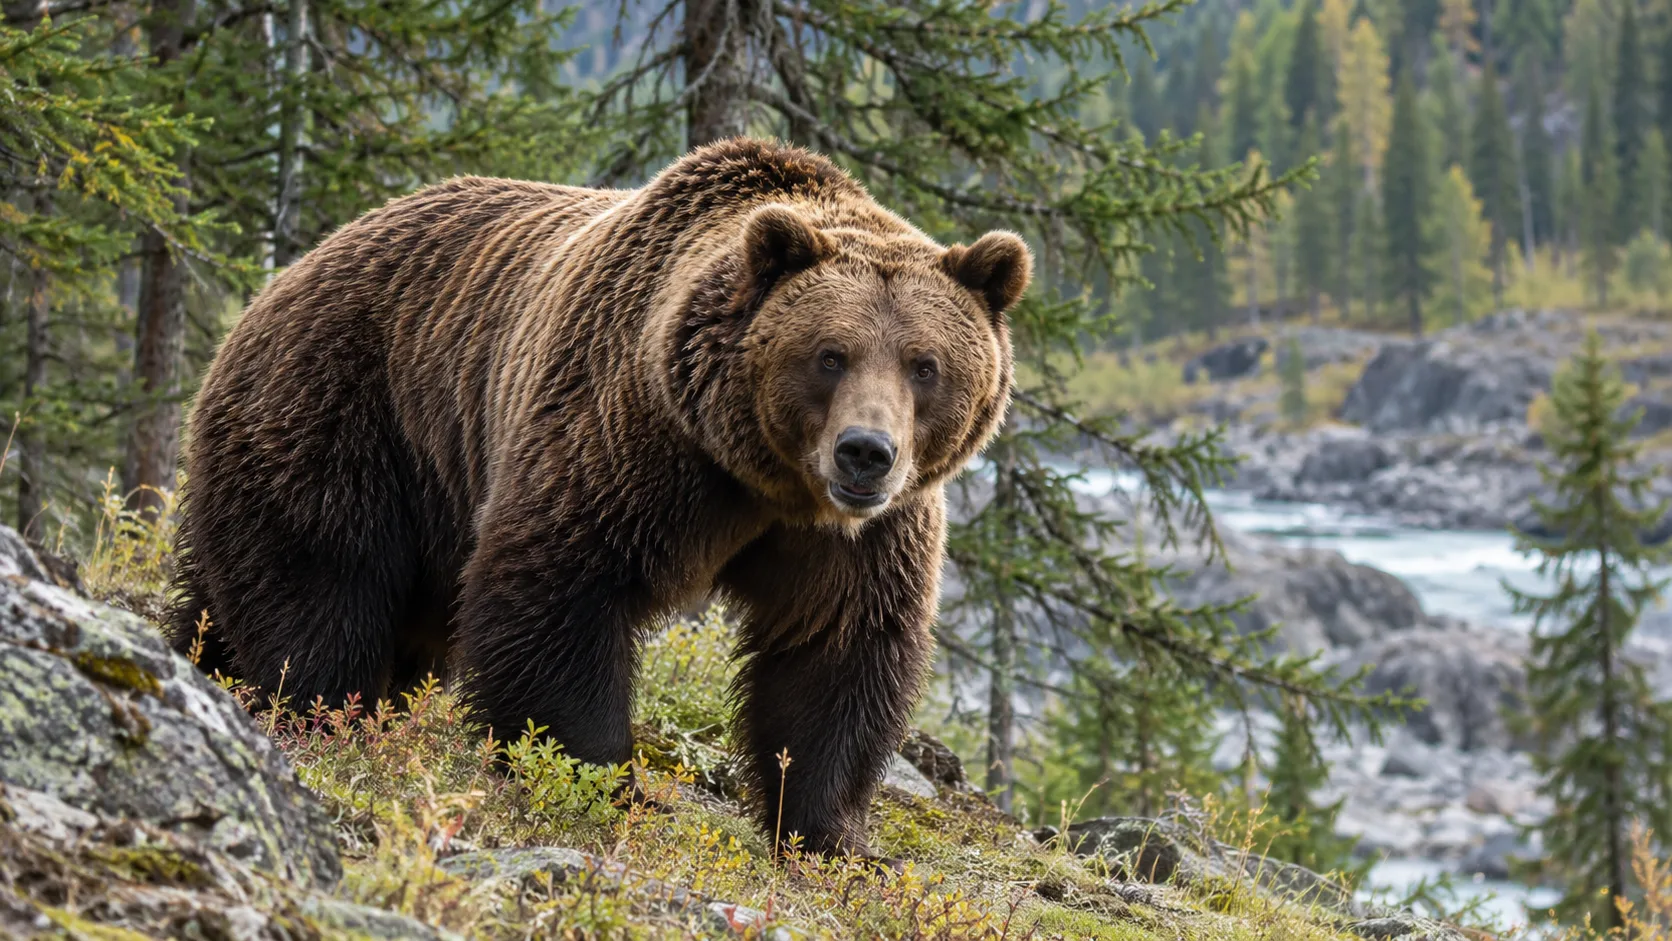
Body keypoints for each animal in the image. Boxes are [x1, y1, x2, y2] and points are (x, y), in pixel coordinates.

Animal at [168, 137, 1029, 858]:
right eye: (830, 354)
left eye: (924, 364)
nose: (865, 453)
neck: (761, 474)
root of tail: (292, 270)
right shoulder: (629, 436)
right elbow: (561, 588)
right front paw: (601, 781)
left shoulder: (857, 535)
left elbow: (837, 650)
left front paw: (832, 835)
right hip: (355, 410)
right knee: (321, 575)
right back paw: (319, 706)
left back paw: (215, 663)